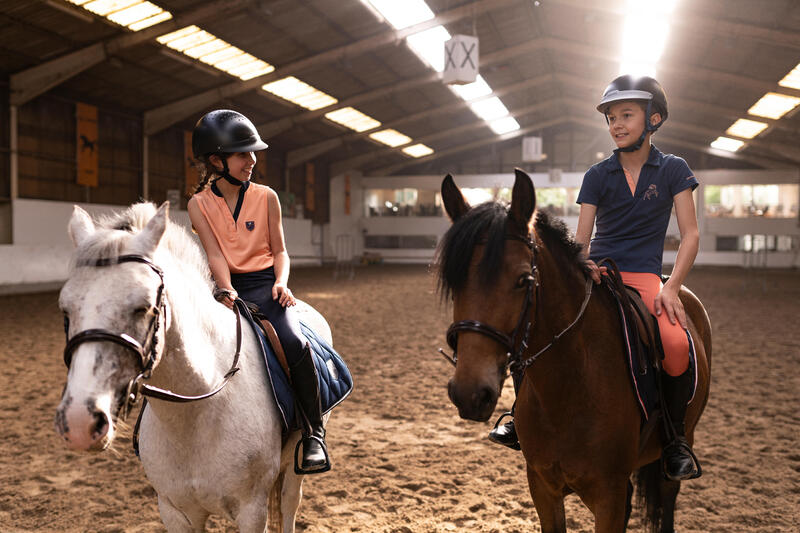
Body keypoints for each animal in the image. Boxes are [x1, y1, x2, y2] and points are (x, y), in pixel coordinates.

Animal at [54, 202, 328, 528]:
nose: (79, 423)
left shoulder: (252, 510)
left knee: (289, 503)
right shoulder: (175, 511)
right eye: (66, 311)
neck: (196, 414)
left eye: (143, 307)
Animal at [438, 168, 712, 528]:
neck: (570, 385)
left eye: (524, 280)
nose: (470, 394)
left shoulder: (608, 495)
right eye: (454, 281)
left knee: (667, 497)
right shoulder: (543, 487)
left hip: (681, 443)